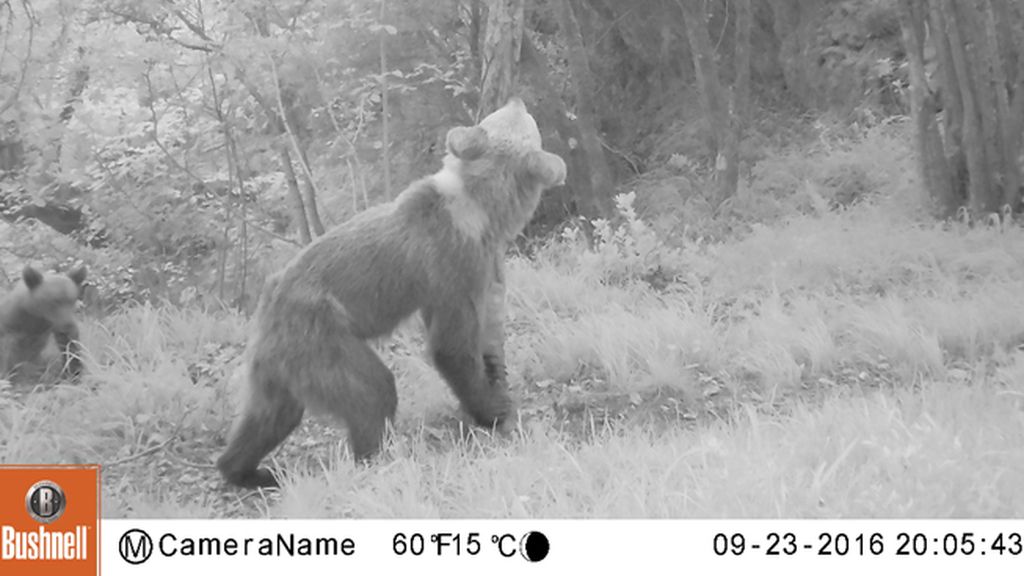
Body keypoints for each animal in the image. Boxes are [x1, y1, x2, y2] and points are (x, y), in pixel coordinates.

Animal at [216, 97, 567, 488]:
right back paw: (377, 459)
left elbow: (488, 331)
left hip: (280, 366)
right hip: (322, 338)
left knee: (269, 416)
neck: (481, 214)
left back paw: (250, 471)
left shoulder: (489, 266)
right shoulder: (452, 268)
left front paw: (497, 377)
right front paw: (494, 409)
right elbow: (452, 346)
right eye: (525, 120)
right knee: (371, 391)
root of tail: (265, 315)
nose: (517, 100)